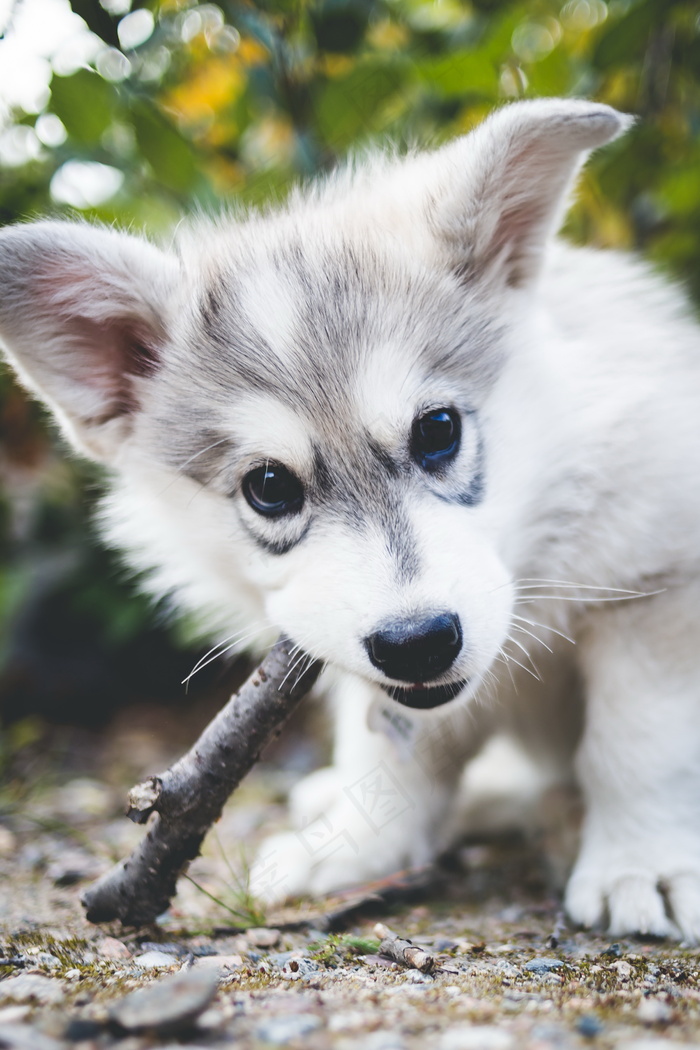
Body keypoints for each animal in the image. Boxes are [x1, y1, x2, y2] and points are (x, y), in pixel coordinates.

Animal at [1, 98, 700, 940]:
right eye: (270, 486)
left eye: (438, 430)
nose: (418, 644)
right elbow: (391, 749)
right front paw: (360, 845)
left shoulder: (657, 586)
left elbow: (638, 743)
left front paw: (644, 862)